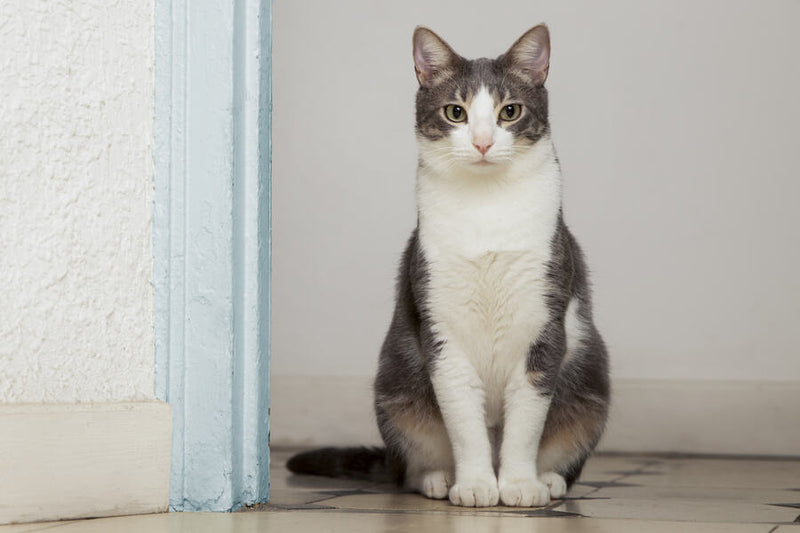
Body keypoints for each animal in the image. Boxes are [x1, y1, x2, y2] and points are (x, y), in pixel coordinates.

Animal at [288, 23, 608, 508]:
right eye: (456, 112)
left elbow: (526, 420)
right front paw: (475, 484)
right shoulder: (440, 327)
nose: (482, 142)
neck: (486, 205)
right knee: (409, 465)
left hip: (591, 385)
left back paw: (548, 480)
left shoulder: (545, 323)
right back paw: (437, 478)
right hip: (396, 387)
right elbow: (463, 420)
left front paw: (518, 484)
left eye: (510, 111)